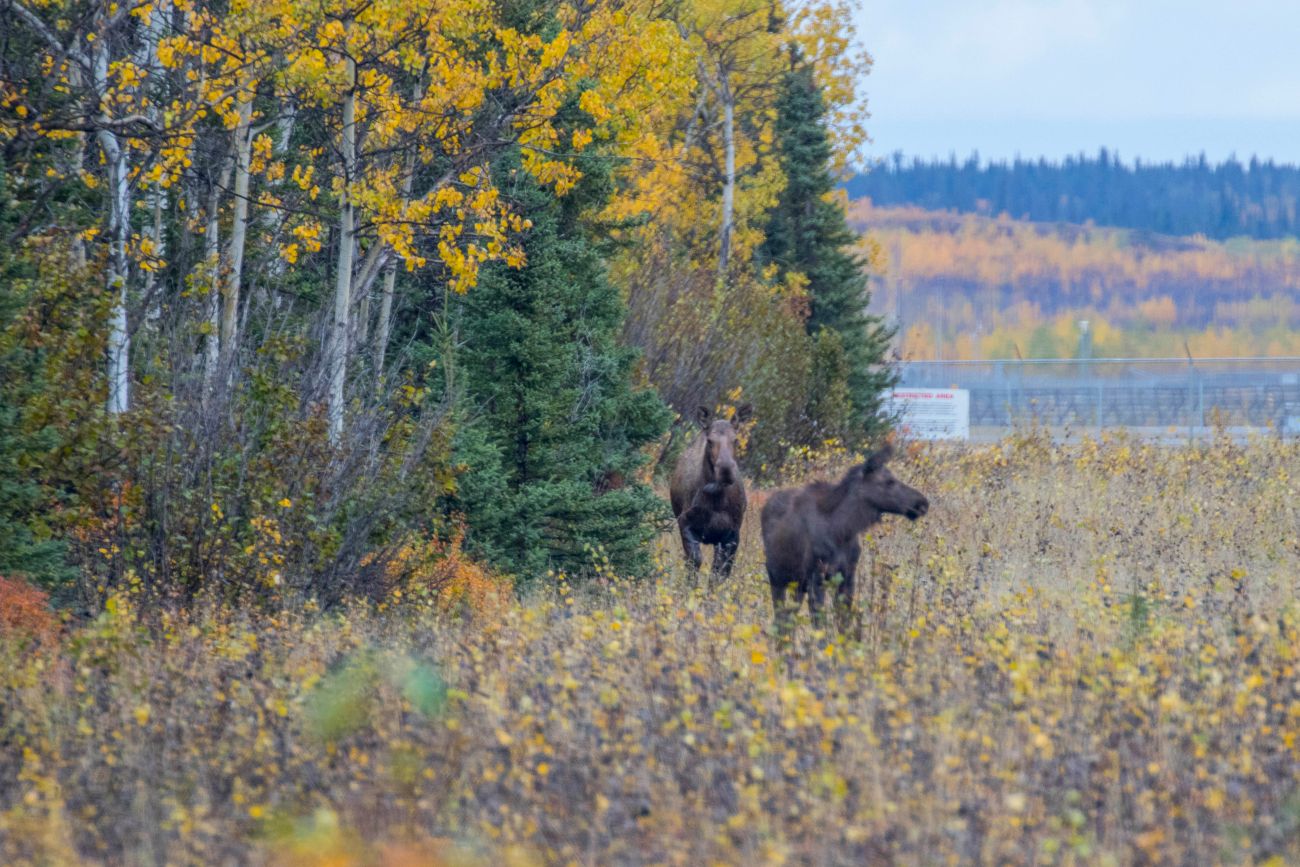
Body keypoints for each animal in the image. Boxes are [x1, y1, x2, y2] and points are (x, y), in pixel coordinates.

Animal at [759, 447, 930, 631]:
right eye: (889, 481)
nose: (922, 502)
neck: (843, 530)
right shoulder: (816, 576)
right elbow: (820, 625)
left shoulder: (848, 576)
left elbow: (844, 623)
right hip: (777, 576)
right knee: (780, 618)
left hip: (797, 584)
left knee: (788, 619)